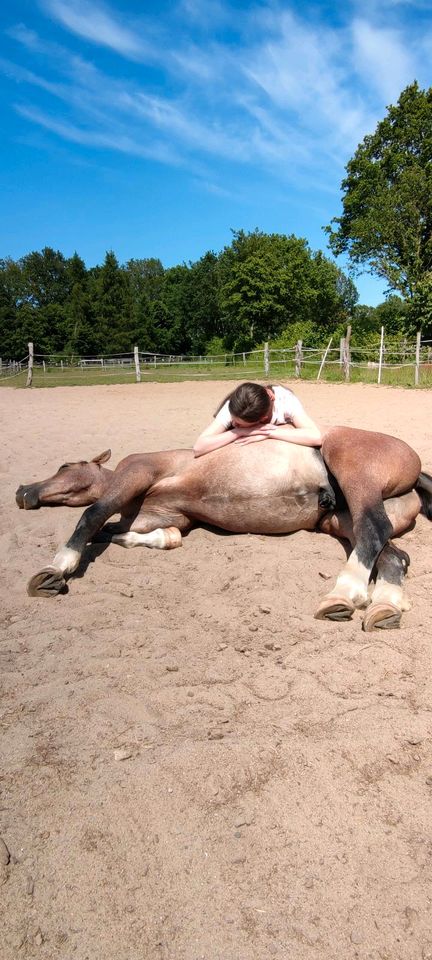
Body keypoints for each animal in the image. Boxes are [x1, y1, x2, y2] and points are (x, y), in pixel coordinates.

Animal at [15, 428, 430, 632]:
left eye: (65, 466)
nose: (22, 491)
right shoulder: (166, 518)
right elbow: (144, 534)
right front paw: (133, 539)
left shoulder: (137, 472)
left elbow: (93, 515)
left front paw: (56, 569)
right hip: (340, 519)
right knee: (392, 554)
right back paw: (385, 605)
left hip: (354, 476)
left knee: (375, 530)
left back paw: (342, 596)